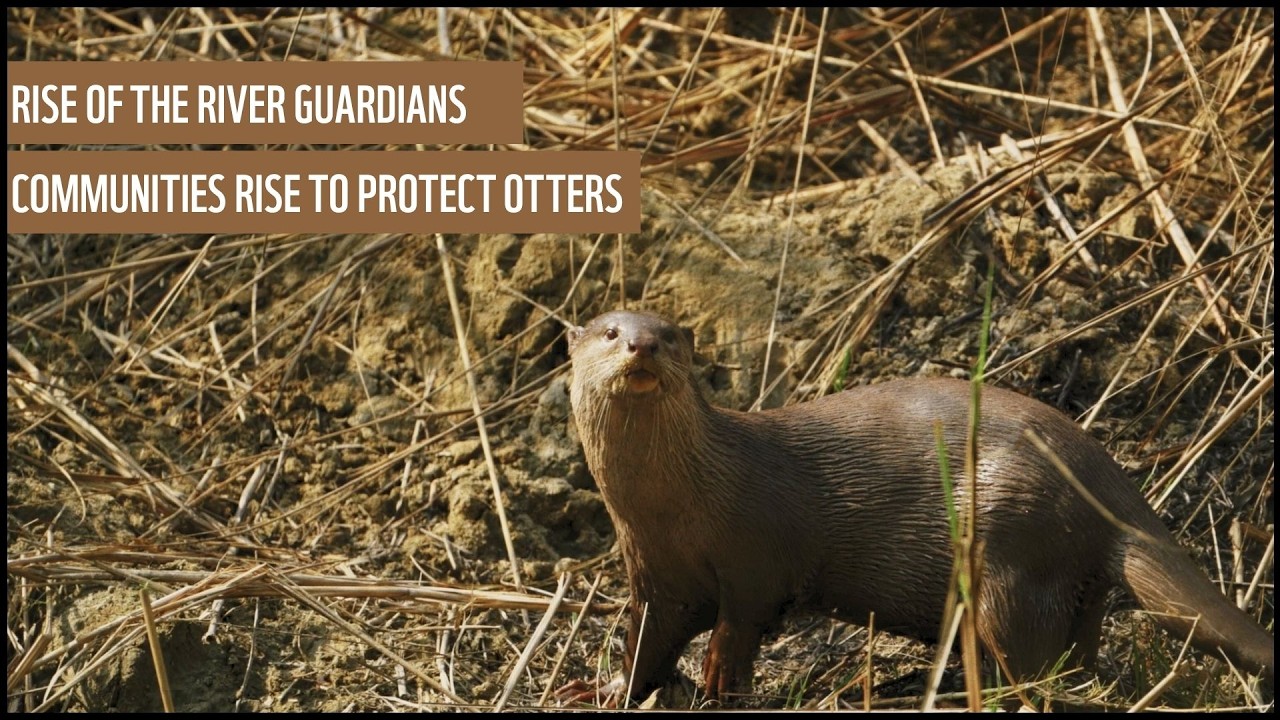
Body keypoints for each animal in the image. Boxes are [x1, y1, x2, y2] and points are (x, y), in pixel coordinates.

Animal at [564, 310, 1273, 703]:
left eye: (669, 337)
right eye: (609, 331)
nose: (641, 347)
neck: (675, 507)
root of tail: (1104, 468)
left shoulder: (755, 557)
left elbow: (740, 625)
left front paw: (717, 684)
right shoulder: (653, 571)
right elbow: (644, 644)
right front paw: (602, 688)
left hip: (1011, 541)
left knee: (1035, 656)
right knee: (1079, 645)